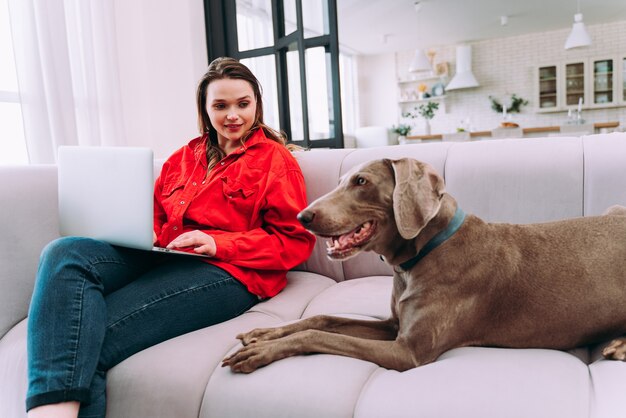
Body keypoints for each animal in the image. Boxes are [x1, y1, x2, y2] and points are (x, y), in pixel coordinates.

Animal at [222, 158, 624, 374]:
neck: (424, 253)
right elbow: (322, 319)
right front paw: (264, 334)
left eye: (361, 181)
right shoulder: (393, 325)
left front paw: (259, 352)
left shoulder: (407, 352)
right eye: (340, 181)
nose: (302, 217)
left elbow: (321, 336)